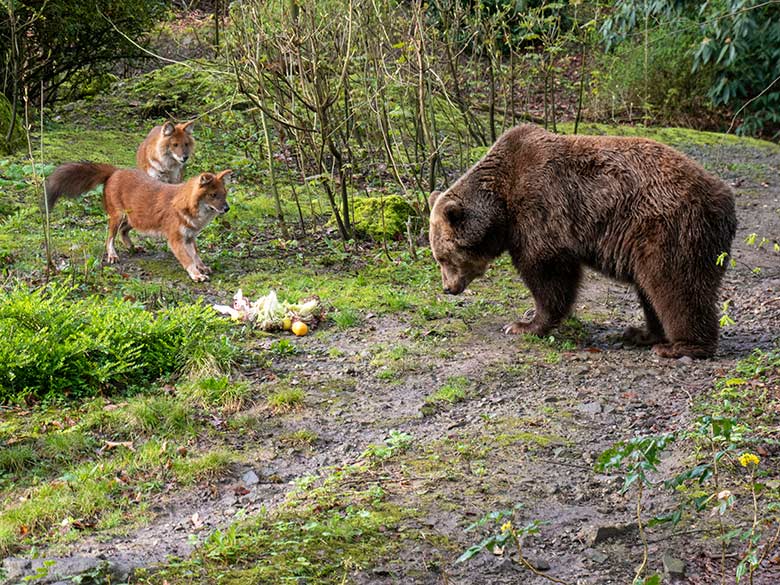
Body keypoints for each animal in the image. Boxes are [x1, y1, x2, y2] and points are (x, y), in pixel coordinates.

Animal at [426, 125, 736, 358]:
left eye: (443, 257)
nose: (448, 288)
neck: (502, 204)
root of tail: (724, 199)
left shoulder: (540, 210)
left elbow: (548, 273)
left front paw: (523, 324)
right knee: (651, 290)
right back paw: (641, 333)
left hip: (670, 229)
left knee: (675, 286)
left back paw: (682, 346)